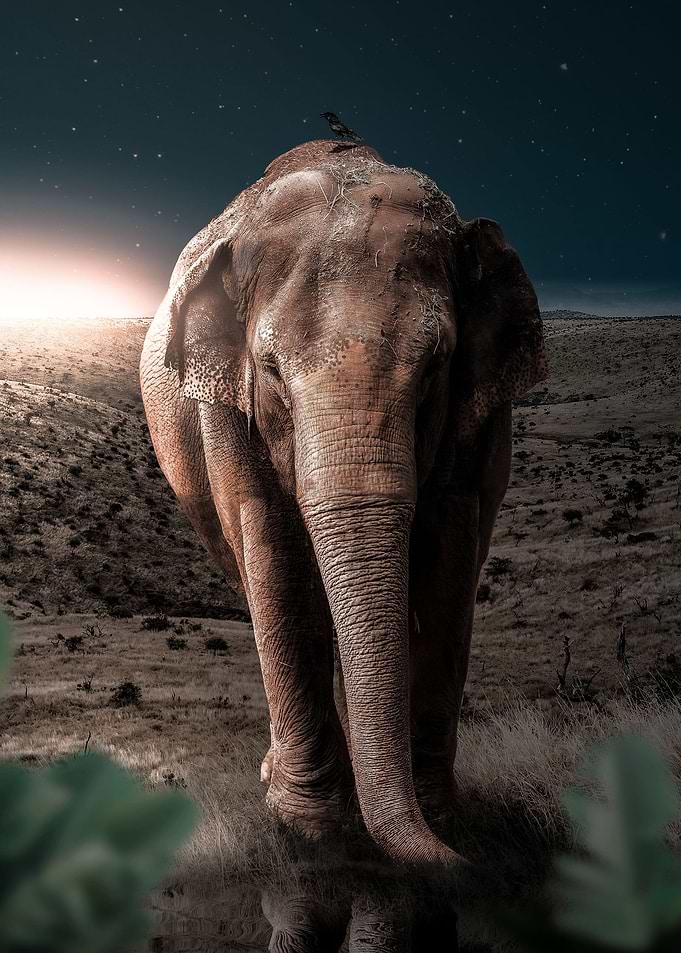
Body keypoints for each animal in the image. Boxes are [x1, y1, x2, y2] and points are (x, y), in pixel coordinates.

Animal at [140, 138, 547, 867]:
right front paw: (312, 831)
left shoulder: (479, 416)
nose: (469, 866)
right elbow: (274, 549)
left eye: (436, 365)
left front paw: (440, 819)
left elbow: (447, 549)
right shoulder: (224, 411)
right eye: (271, 370)